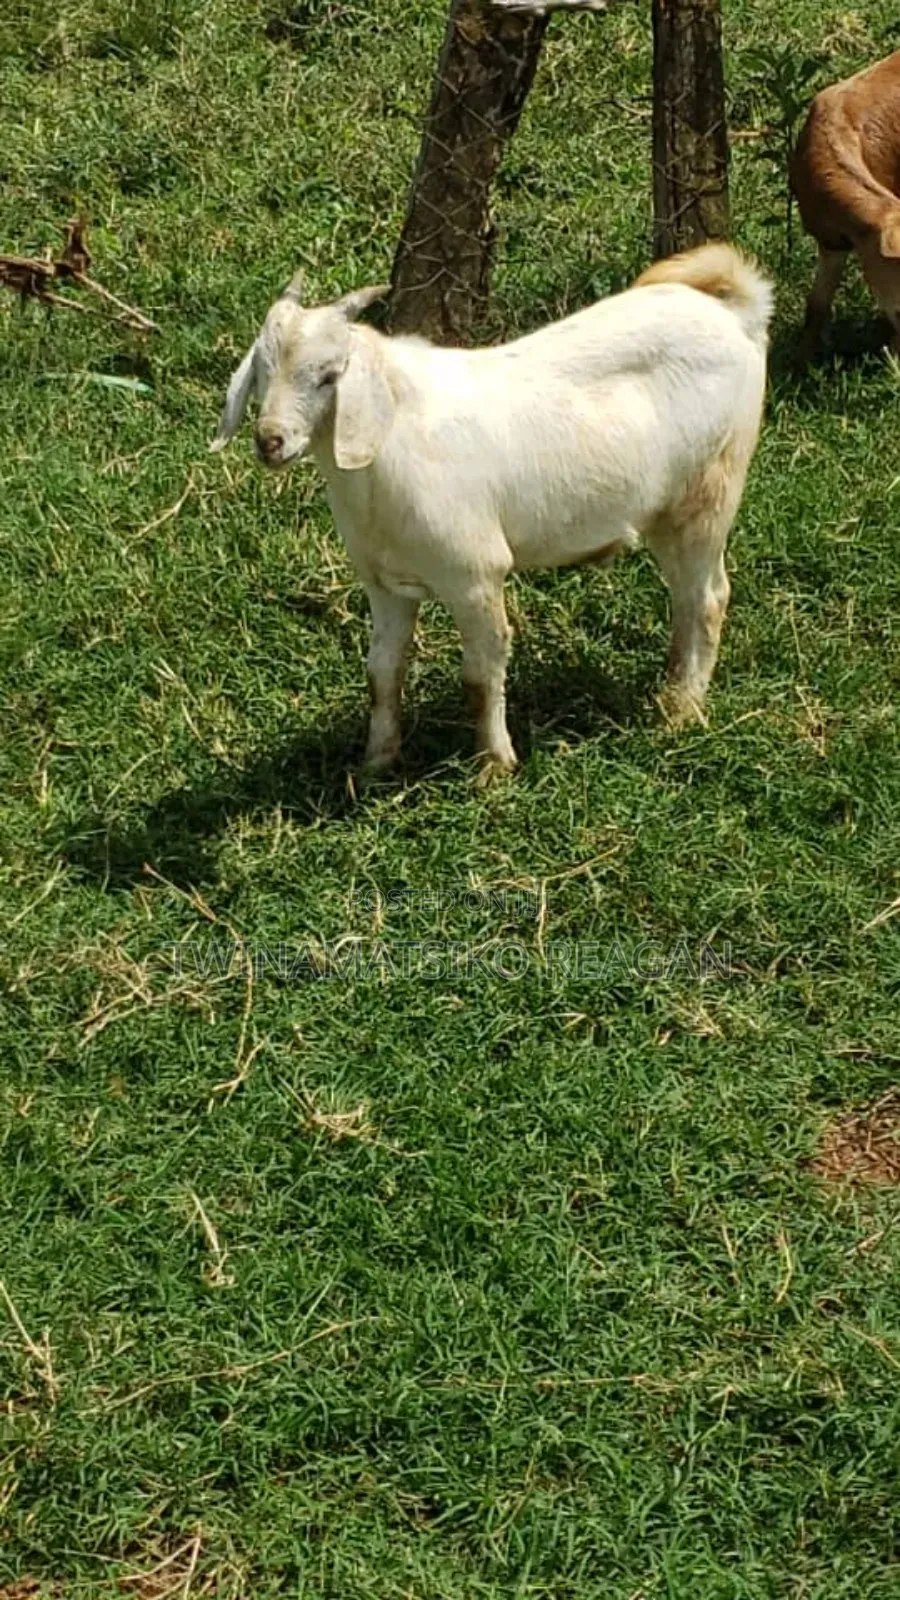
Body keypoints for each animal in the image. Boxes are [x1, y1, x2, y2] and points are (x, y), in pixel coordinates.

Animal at [211, 244, 772, 776]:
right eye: (261, 370)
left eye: (329, 376)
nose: (270, 441)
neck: (389, 438)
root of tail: (737, 312)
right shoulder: (385, 584)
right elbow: (382, 674)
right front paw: (376, 764)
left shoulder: (475, 575)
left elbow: (480, 678)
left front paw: (494, 768)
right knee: (685, 598)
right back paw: (671, 687)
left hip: (709, 491)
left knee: (707, 597)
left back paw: (682, 711)